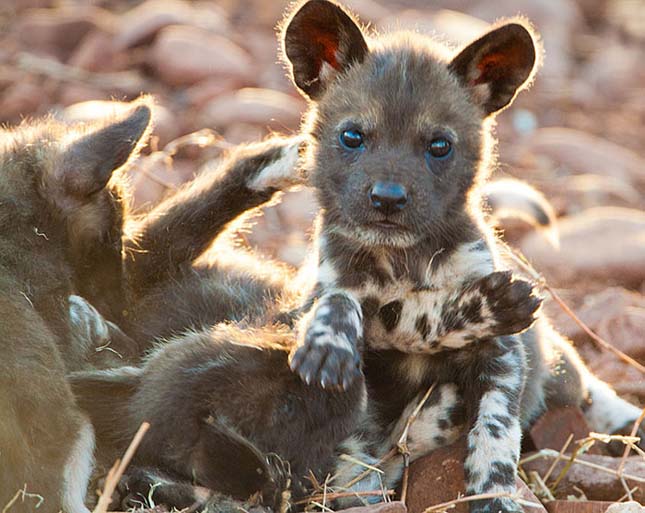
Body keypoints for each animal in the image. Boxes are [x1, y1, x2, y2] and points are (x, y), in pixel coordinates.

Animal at [278, 2, 644, 510]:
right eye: (352, 137)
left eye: (439, 146)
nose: (388, 198)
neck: (403, 263)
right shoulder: (325, 293)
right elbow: (340, 304)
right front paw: (328, 343)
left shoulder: (502, 355)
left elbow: (495, 432)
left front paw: (494, 493)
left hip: (561, 368)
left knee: (587, 386)